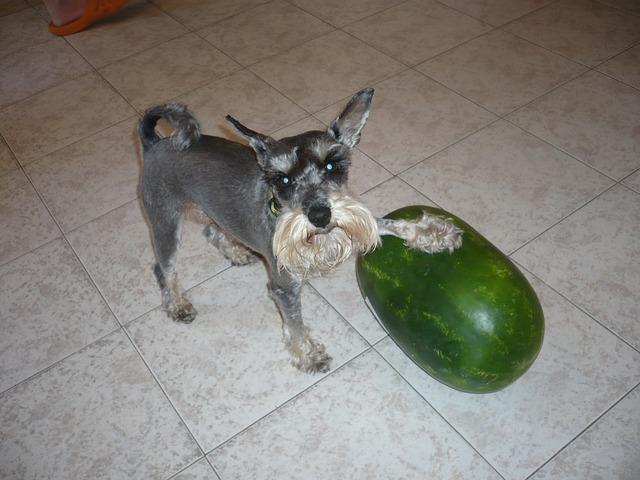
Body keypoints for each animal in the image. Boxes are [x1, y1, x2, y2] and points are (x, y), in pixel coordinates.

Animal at [139, 88, 460, 374]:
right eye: (282, 179)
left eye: (331, 164)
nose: (320, 215)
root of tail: (155, 143)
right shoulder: (284, 287)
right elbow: (295, 322)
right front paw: (309, 354)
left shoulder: (357, 219)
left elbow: (387, 223)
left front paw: (434, 232)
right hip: (165, 221)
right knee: (163, 267)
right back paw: (178, 305)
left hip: (210, 208)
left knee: (211, 230)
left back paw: (236, 252)